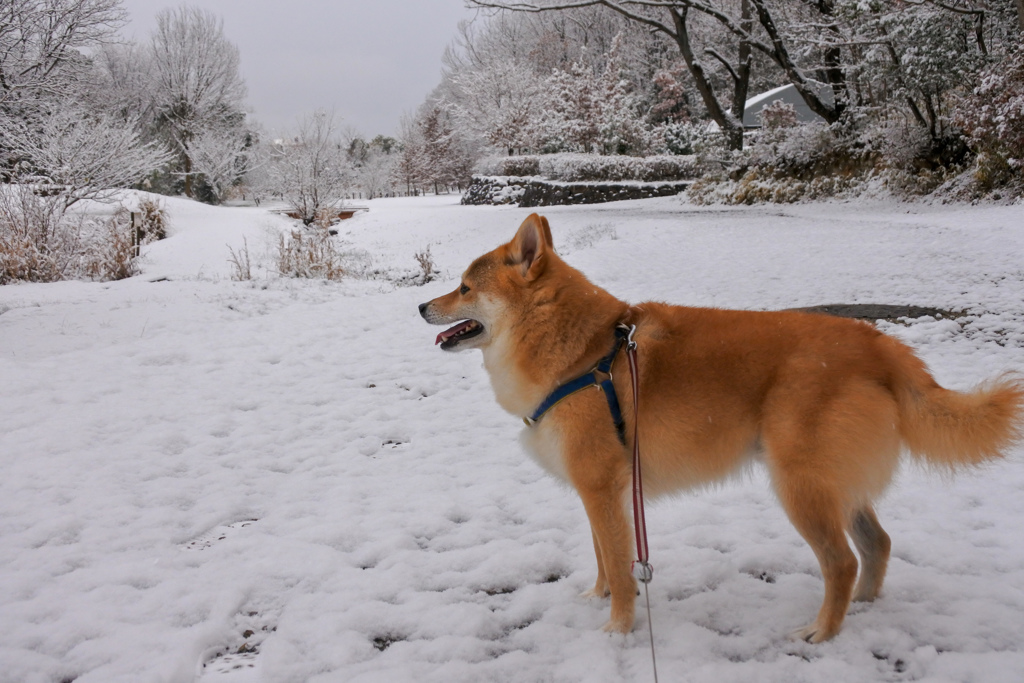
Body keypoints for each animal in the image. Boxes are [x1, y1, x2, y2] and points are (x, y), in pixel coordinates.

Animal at [417, 214, 1024, 643]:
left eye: (465, 288)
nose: (423, 306)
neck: (584, 352)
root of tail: (882, 347)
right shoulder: (601, 494)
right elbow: (604, 560)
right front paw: (597, 599)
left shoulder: (601, 490)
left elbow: (620, 567)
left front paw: (618, 630)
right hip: (834, 485)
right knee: (877, 544)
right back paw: (863, 609)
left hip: (801, 485)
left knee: (843, 561)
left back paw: (824, 632)